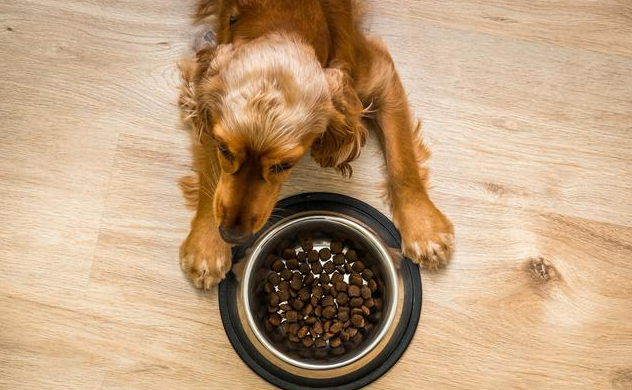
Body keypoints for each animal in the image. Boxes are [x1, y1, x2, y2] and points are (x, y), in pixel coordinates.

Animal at [178, 0, 454, 286]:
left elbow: (402, 162)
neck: (284, 21)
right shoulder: (199, 94)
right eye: (223, 149)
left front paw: (424, 228)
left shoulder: (379, 76)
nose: (232, 236)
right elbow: (210, 176)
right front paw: (207, 246)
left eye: (285, 165)